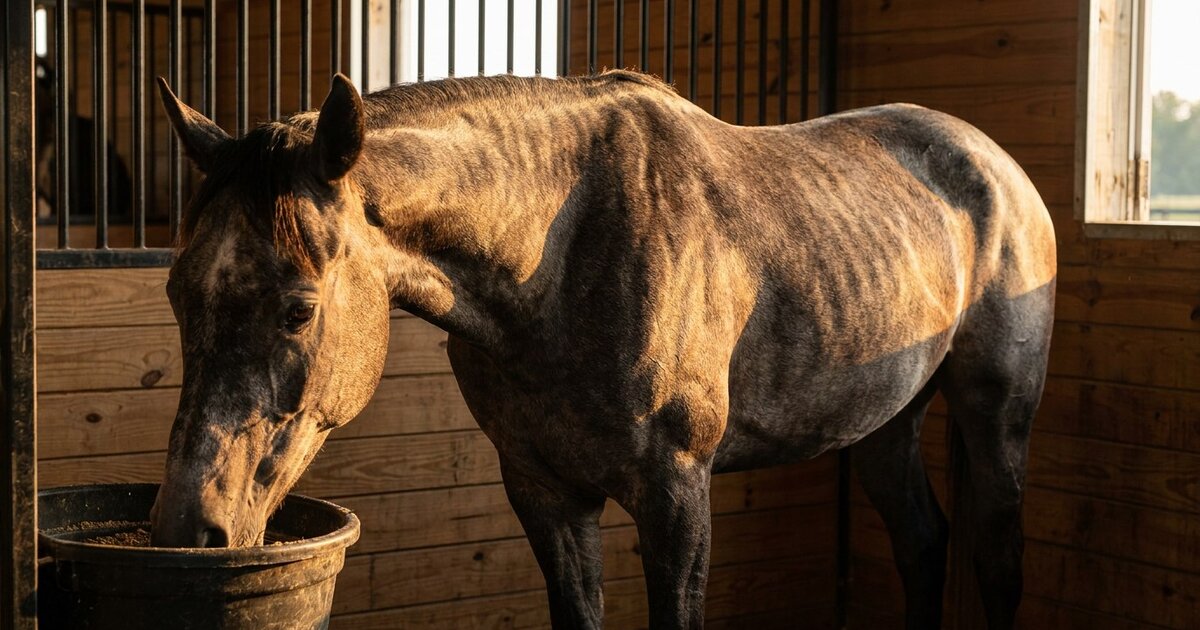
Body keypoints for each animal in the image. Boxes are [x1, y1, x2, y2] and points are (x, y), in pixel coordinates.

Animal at [149, 70, 1056, 629]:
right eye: (176, 293)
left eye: (299, 311)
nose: (187, 529)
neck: (560, 250)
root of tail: (995, 163)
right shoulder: (545, 491)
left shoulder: (676, 493)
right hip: (883, 425)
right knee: (923, 544)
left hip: (998, 416)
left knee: (999, 557)